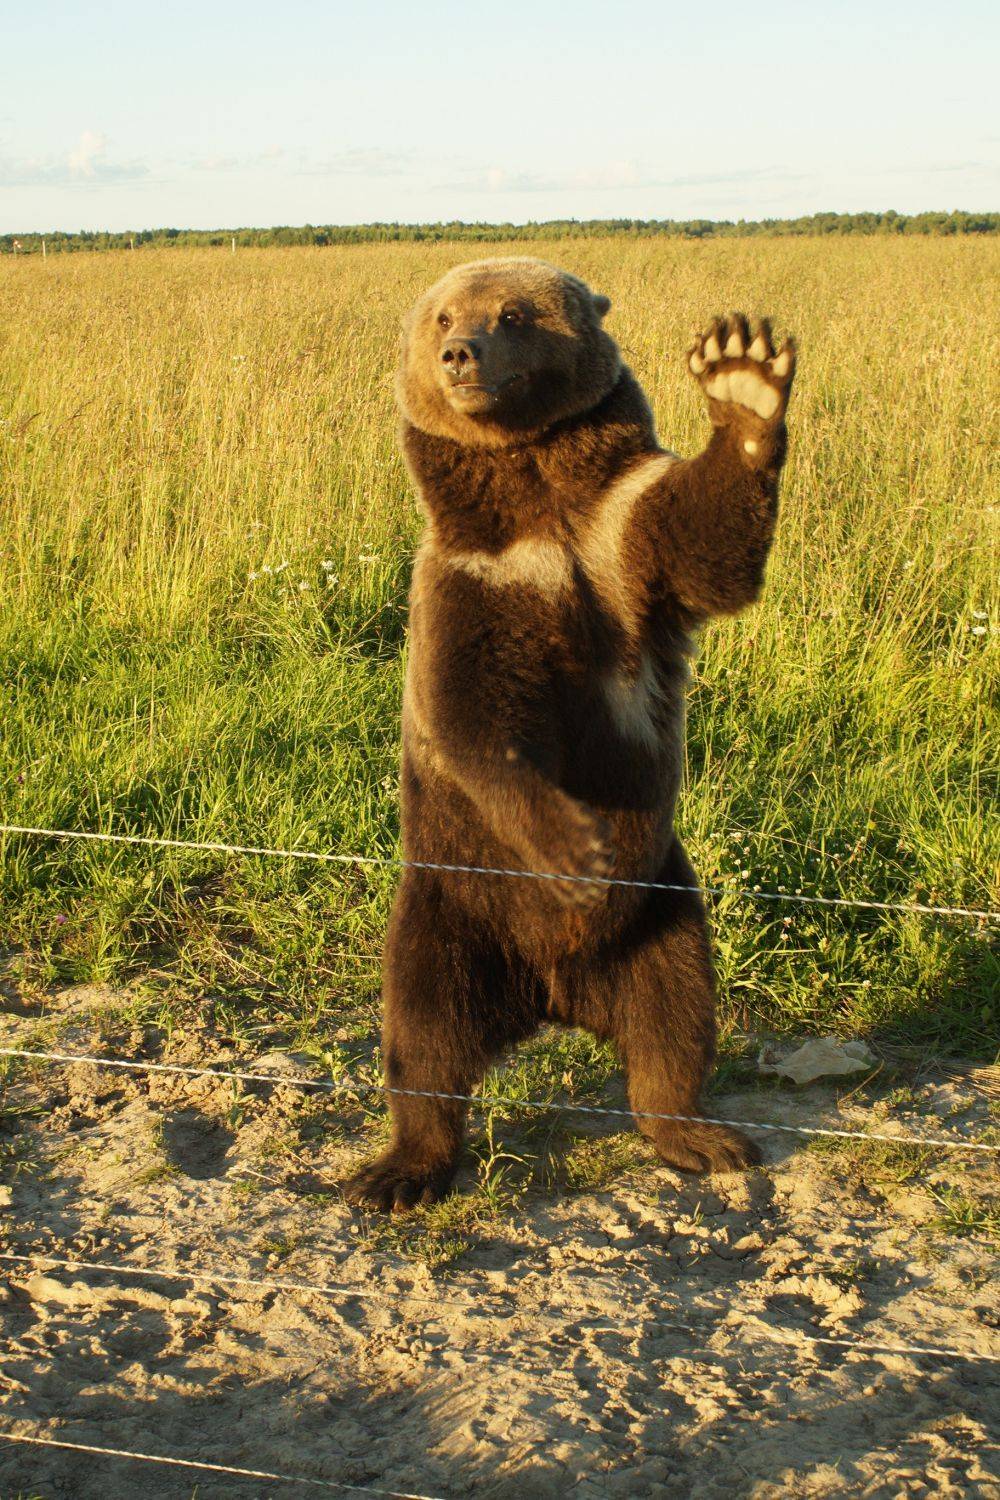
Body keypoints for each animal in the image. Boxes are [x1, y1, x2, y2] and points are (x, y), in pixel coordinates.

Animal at [344, 256, 795, 1212]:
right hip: (454, 905)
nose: (460, 355)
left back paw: (698, 1135)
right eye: (444, 315)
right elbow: (475, 721)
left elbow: (708, 541)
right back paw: (403, 1168)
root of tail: (554, 993)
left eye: (513, 313)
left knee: (674, 1017)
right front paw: (577, 846)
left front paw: (742, 374)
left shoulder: (622, 538)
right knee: (423, 1036)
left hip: (662, 907)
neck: (539, 497)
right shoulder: (475, 582)